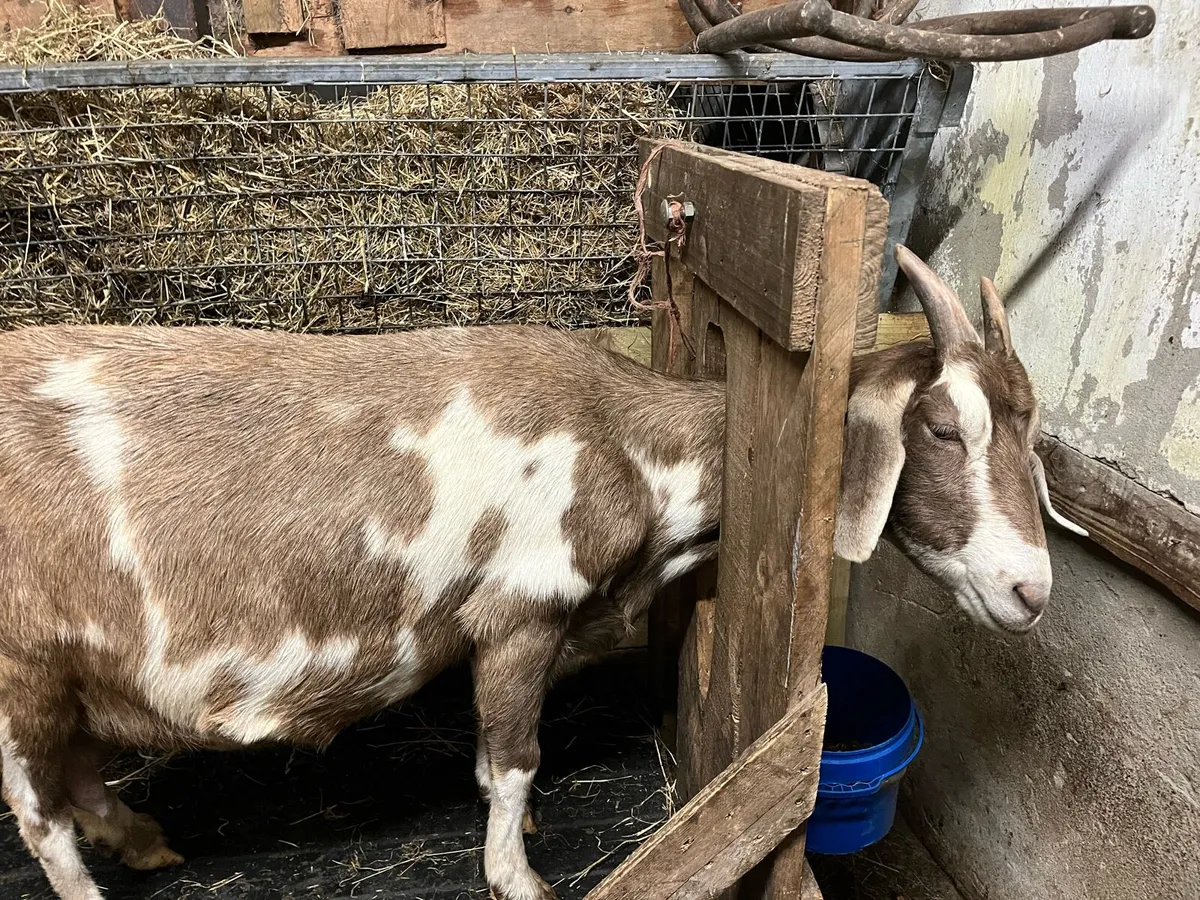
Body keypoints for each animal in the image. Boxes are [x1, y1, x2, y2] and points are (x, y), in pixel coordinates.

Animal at [0, 246, 1081, 900]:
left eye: (1032, 438)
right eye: (941, 429)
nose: (1032, 591)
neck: (632, 448)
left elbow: (496, 758)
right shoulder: (519, 610)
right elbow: (516, 758)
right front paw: (518, 877)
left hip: (77, 668)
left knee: (79, 774)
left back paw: (146, 842)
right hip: (20, 669)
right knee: (39, 814)